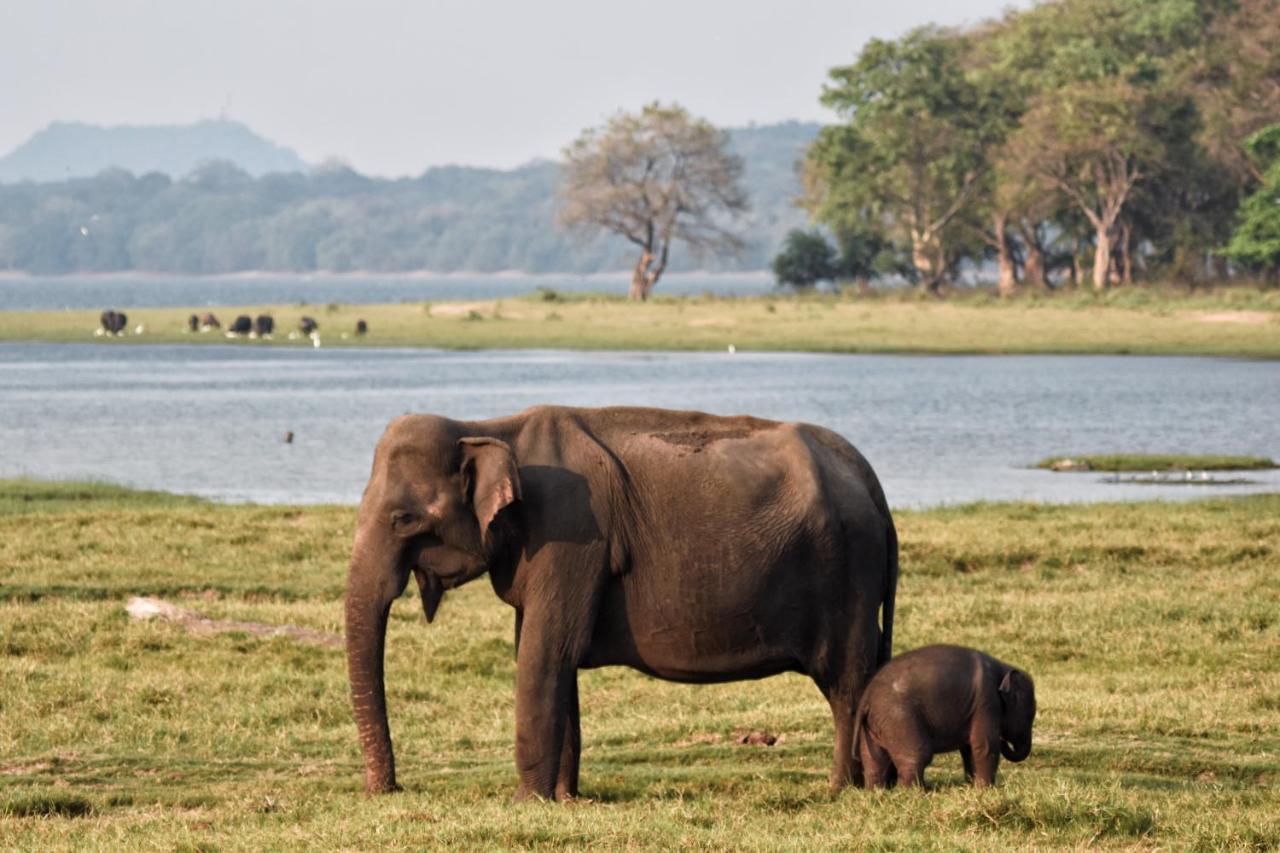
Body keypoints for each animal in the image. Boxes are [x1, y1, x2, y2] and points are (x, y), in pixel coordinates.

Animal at [345, 404, 896, 799]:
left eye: (403, 519)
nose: (387, 791)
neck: (490, 427)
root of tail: (870, 478)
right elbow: (552, 657)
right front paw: (566, 799)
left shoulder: (570, 533)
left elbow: (543, 654)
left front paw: (526, 802)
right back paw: (879, 784)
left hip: (848, 571)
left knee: (847, 684)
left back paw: (842, 790)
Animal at [855, 645, 1034, 783]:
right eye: (1029, 717)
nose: (1004, 741)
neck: (1003, 668)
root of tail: (867, 696)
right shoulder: (987, 702)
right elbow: (984, 744)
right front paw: (985, 790)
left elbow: (969, 748)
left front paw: (972, 786)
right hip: (899, 718)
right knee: (917, 755)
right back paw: (914, 794)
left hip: (874, 725)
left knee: (873, 760)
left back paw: (877, 793)